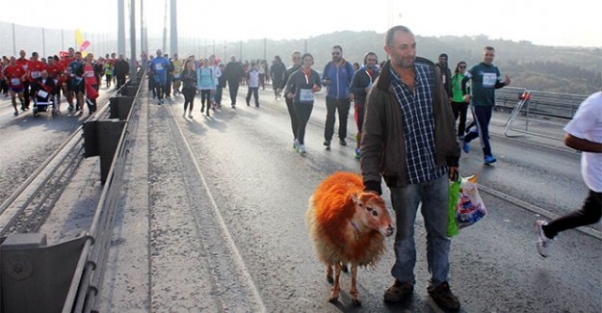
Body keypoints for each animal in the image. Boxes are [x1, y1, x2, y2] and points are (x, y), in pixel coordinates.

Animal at [304, 171, 394, 304]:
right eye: (371, 209)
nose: (390, 229)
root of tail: (341, 173)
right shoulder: (334, 246)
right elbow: (337, 271)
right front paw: (335, 293)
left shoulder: (357, 251)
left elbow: (354, 272)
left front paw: (354, 294)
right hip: (324, 240)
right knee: (328, 260)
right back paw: (329, 273)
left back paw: (344, 266)